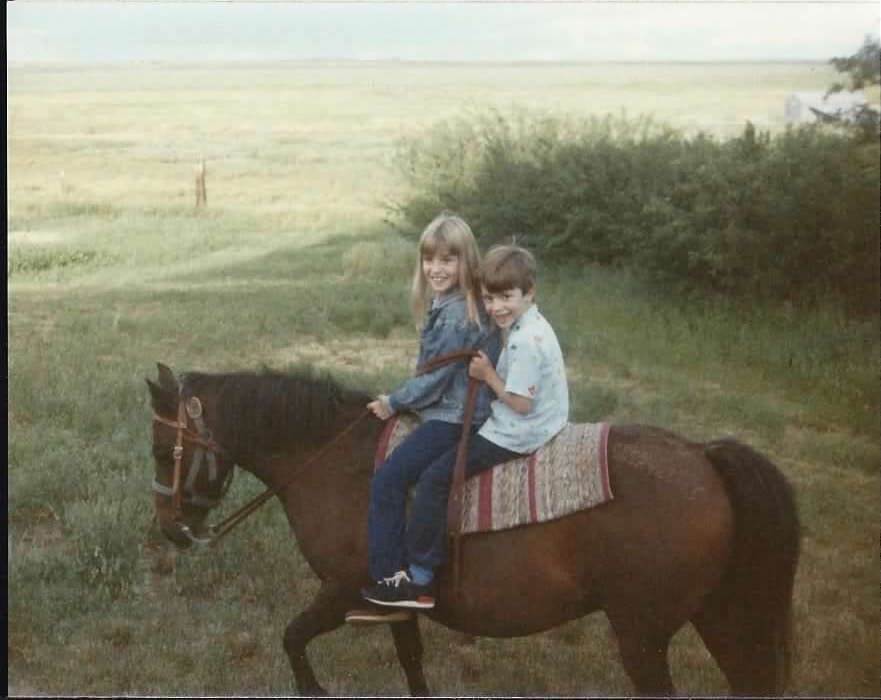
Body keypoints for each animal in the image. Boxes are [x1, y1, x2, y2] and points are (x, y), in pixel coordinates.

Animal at [150, 360, 796, 696]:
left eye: (161, 450)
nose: (171, 531)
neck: (339, 462)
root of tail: (704, 456)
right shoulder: (395, 603)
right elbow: (412, 664)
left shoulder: (342, 591)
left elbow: (292, 640)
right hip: (719, 615)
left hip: (644, 635)